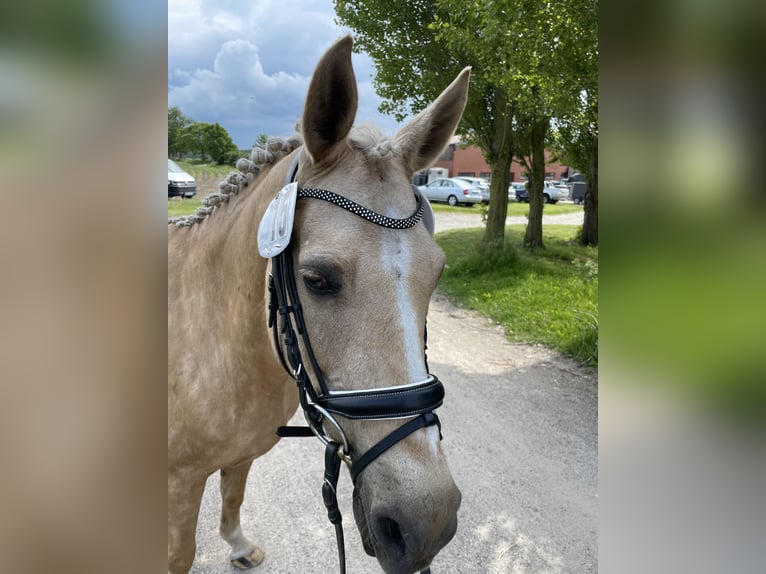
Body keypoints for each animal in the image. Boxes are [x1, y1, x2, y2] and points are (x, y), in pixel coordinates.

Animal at [168, 37, 472, 574]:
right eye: (316, 280)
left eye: (437, 274)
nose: (427, 524)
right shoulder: (178, 483)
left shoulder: (241, 454)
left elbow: (233, 496)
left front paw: (238, 545)